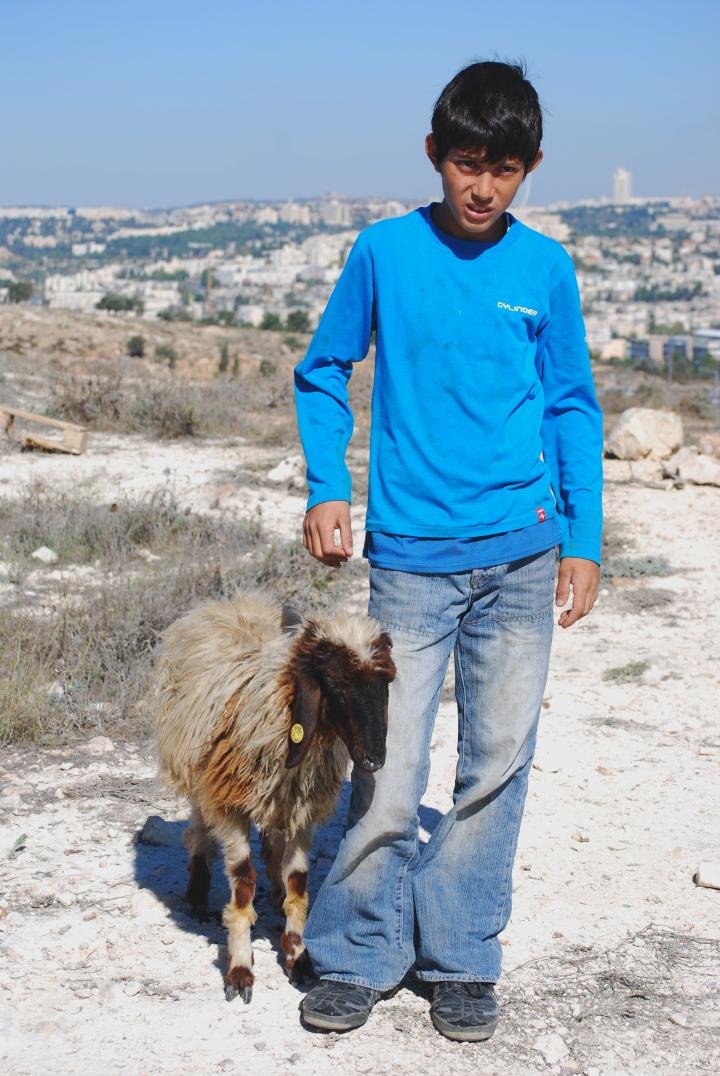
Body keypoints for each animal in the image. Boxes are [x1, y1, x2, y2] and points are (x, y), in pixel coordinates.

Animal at [150, 585, 393, 1002]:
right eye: (336, 685)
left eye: (384, 686)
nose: (374, 759)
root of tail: (231, 602)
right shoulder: (229, 803)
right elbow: (243, 885)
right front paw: (240, 970)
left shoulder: (302, 808)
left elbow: (298, 882)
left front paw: (298, 957)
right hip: (198, 772)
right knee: (199, 828)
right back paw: (197, 893)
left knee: (273, 845)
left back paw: (276, 892)